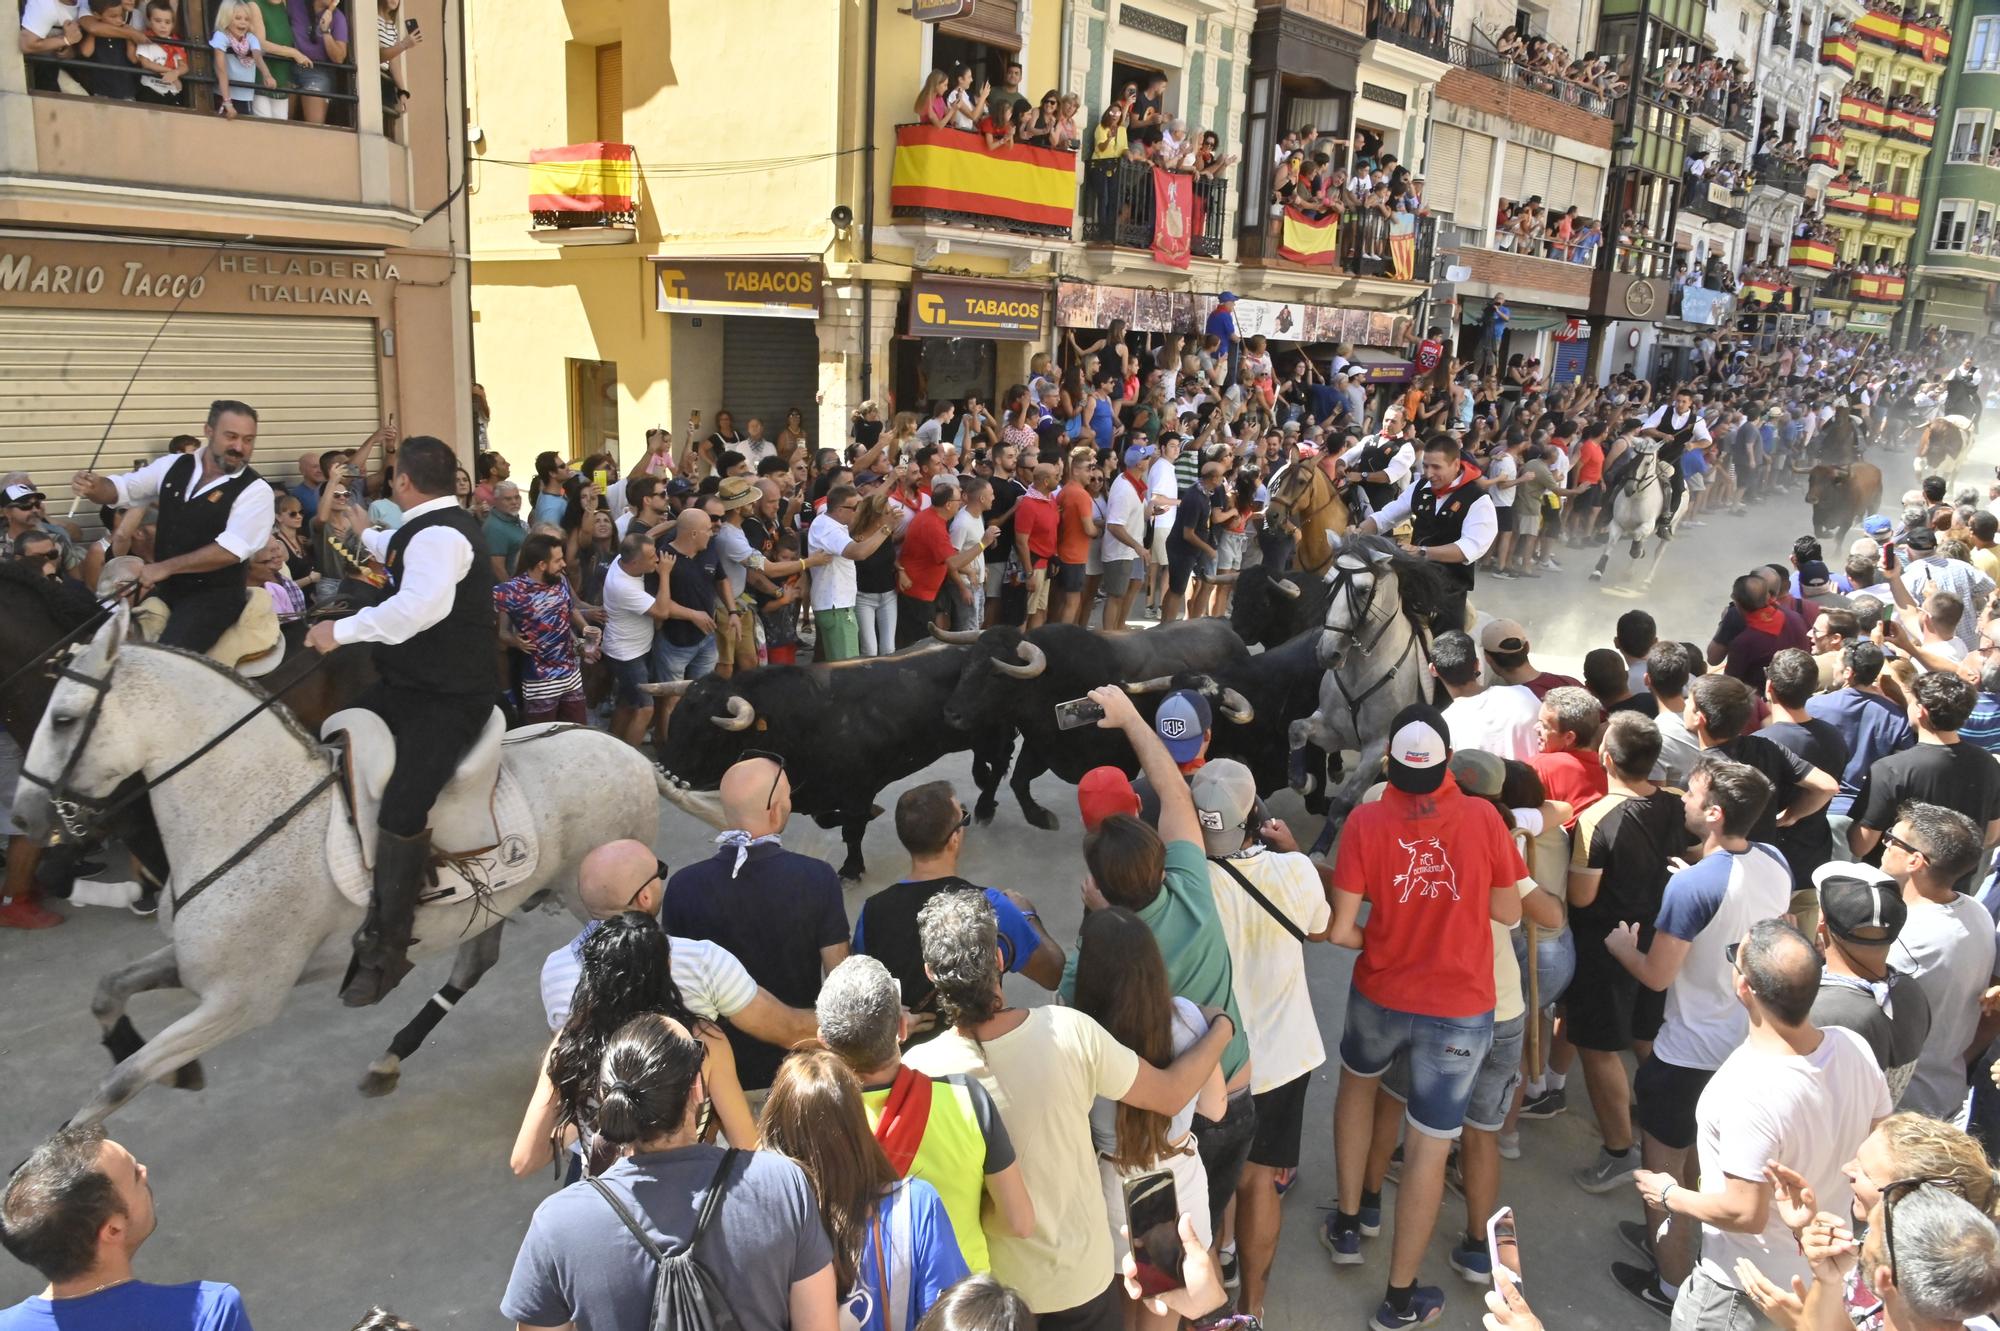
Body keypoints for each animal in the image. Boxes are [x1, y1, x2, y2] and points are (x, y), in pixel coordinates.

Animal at [11, 607, 660, 1119]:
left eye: (64, 719)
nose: (22, 819)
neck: (251, 809)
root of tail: (623, 748)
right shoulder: (196, 967)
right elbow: (107, 992)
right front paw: (166, 1065)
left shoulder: (241, 1000)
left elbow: (117, 1085)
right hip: (495, 902)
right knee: (474, 965)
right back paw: (388, 1059)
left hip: (592, 899)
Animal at [652, 643, 1008, 879]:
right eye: (676, 719)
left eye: (709, 733)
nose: (663, 771)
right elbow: (828, 820)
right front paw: (872, 816)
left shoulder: (858, 788)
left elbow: (852, 829)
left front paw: (851, 868)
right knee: (985, 763)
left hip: (995, 733)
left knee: (1000, 763)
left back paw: (984, 808)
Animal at [936, 615, 1248, 823]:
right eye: (967, 664)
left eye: (997, 674)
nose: (951, 713)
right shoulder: (1040, 746)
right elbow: (1018, 781)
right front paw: (1038, 816)